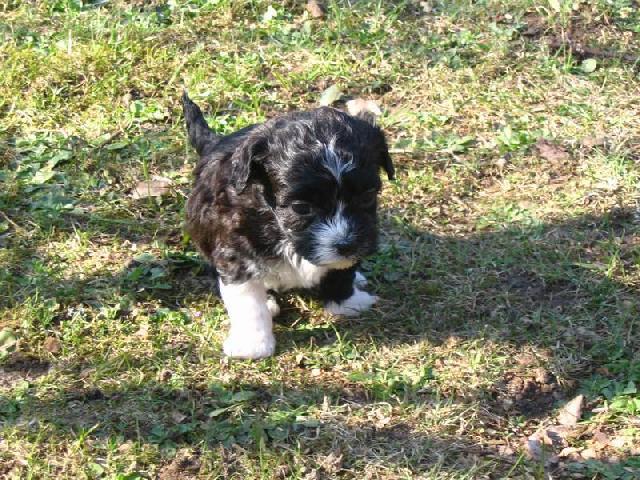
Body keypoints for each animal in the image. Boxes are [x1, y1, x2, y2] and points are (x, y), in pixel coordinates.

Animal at [182, 93, 392, 360]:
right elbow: (247, 300)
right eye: (301, 208)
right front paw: (253, 343)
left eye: (367, 197)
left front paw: (347, 302)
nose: (347, 245)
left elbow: (341, 272)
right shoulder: (234, 250)